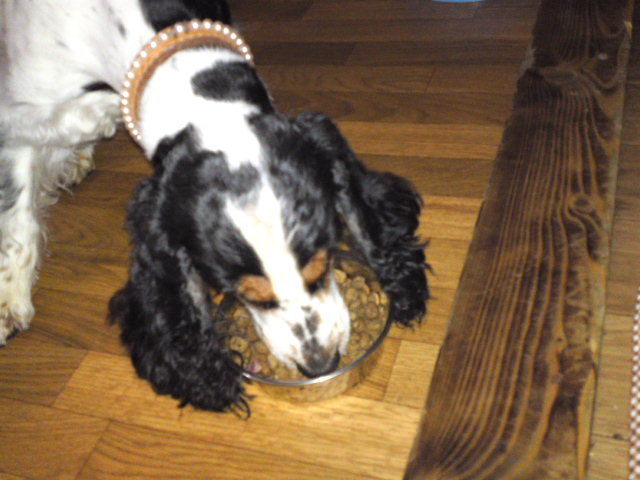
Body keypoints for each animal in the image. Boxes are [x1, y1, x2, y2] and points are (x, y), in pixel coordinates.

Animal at [0, 0, 428, 413]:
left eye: (323, 267)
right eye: (248, 296)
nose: (322, 365)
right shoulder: (22, 113)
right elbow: (18, 211)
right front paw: (10, 299)